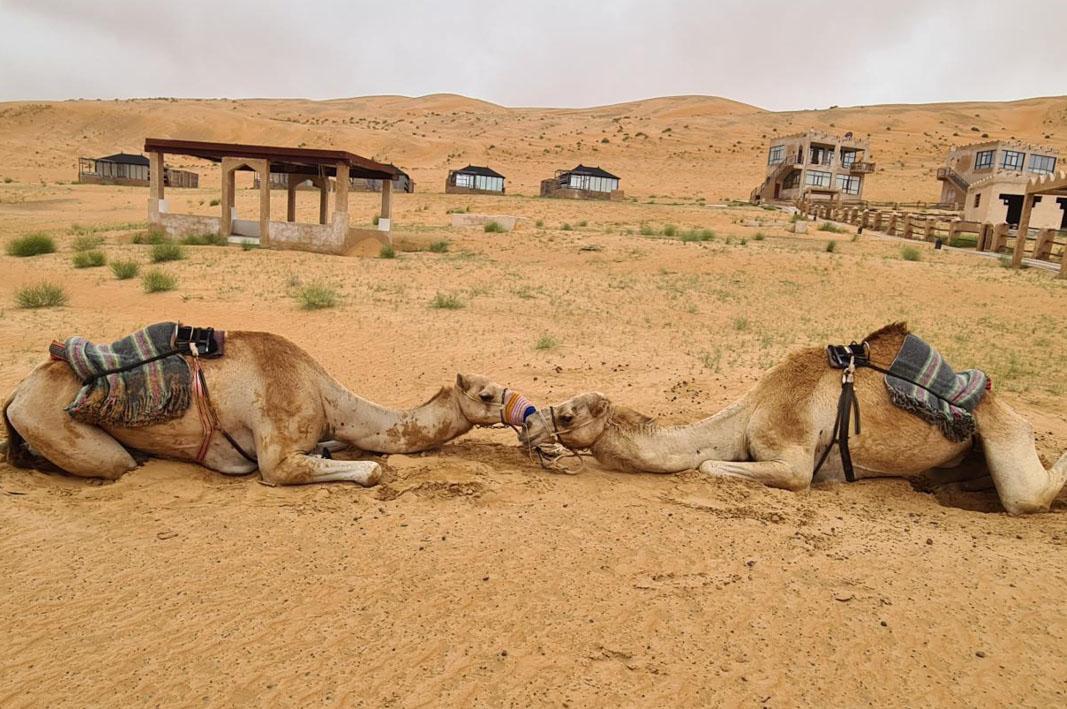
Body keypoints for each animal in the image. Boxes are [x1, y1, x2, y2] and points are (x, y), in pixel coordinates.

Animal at [4, 330, 520, 487]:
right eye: (486, 394)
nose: (523, 407)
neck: (327, 397)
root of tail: (16, 396)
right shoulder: (278, 449)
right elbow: (370, 470)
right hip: (57, 426)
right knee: (113, 462)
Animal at [519, 324, 1067, 514]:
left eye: (566, 413)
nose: (527, 423)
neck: (748, 414)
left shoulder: (792, 458)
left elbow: (708, 466)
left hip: (1003, 430)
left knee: (1028, 495)